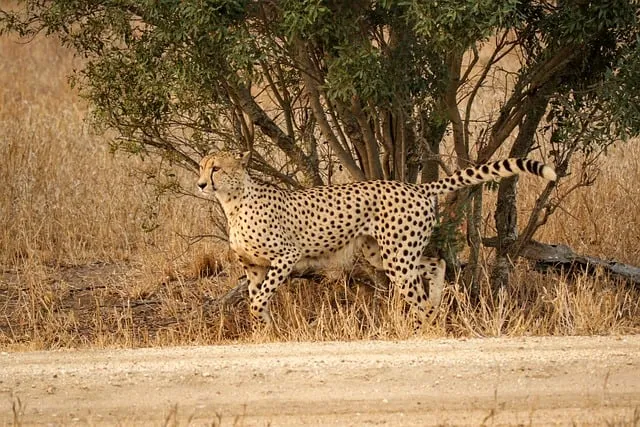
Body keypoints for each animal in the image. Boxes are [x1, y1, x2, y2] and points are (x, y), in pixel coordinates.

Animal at [197, 151, 556, 330]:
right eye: (202, 167)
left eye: (216, 168)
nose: (200, 184)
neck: (233, 200)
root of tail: (415, 186)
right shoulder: (255, 267)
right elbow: (255, 299)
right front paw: (265, 330)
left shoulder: (287, 256)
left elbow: (257, 300)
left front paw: (265, 323)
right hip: (384, 254)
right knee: (436, 262)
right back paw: (435, 305)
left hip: (396, 256)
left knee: (419, 294)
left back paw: (422, 327)